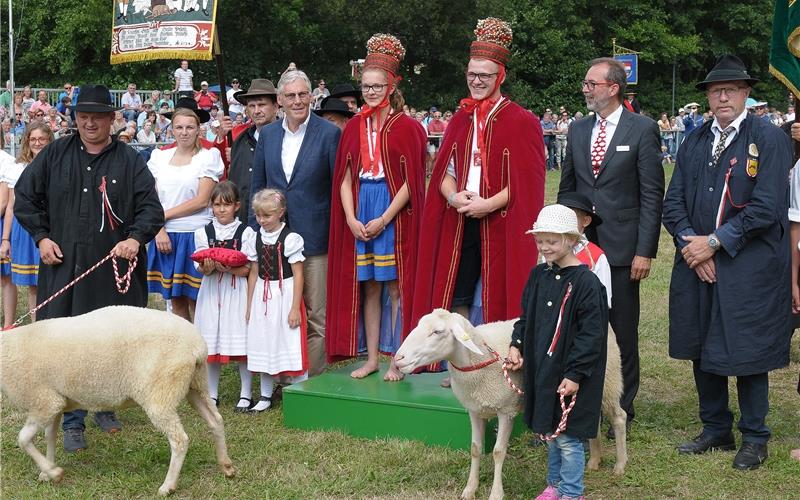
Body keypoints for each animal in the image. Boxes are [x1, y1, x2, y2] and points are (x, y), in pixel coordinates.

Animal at [0, 304, 234, 496]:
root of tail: (197, 346)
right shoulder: (56, 401)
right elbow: (49, 436)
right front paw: (47, 471)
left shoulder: (44, 401)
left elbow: (23, 439)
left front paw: (53, 472)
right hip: (196, 385)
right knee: (216, 420)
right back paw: (226, 466)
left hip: (160, 392)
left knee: (180, 440)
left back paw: (168, 486)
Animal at [396, 308, 628, 500]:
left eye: (437, 332)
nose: (398, 359)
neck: (479, 360)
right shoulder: (474, 410)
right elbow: (475, 449)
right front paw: (470, 489)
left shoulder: (505, 411)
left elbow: (498, 452)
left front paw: (496, 493)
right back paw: (594, 461)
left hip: (609, 379)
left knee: (619, 417)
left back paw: (620, 465)